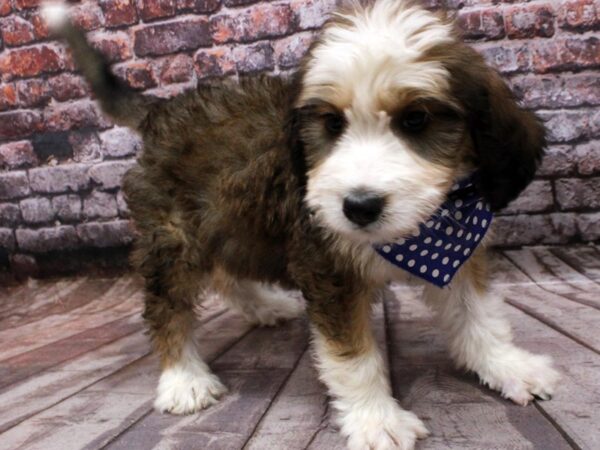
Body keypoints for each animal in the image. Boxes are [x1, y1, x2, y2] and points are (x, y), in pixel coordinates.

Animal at [44, 1, 560, 448]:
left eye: (416, 119)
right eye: (332, 123)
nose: (359, 207)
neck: (410, 239)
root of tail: (161, 112)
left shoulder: (457, 250)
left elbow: (479, 317)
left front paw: (508, 366)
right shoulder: (329, 272)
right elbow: (354, 357)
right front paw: (376, 419)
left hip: (229, 221)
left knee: (227, 274)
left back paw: (263, 306)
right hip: (174, 238)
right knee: (165, 305)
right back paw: (183, 379)